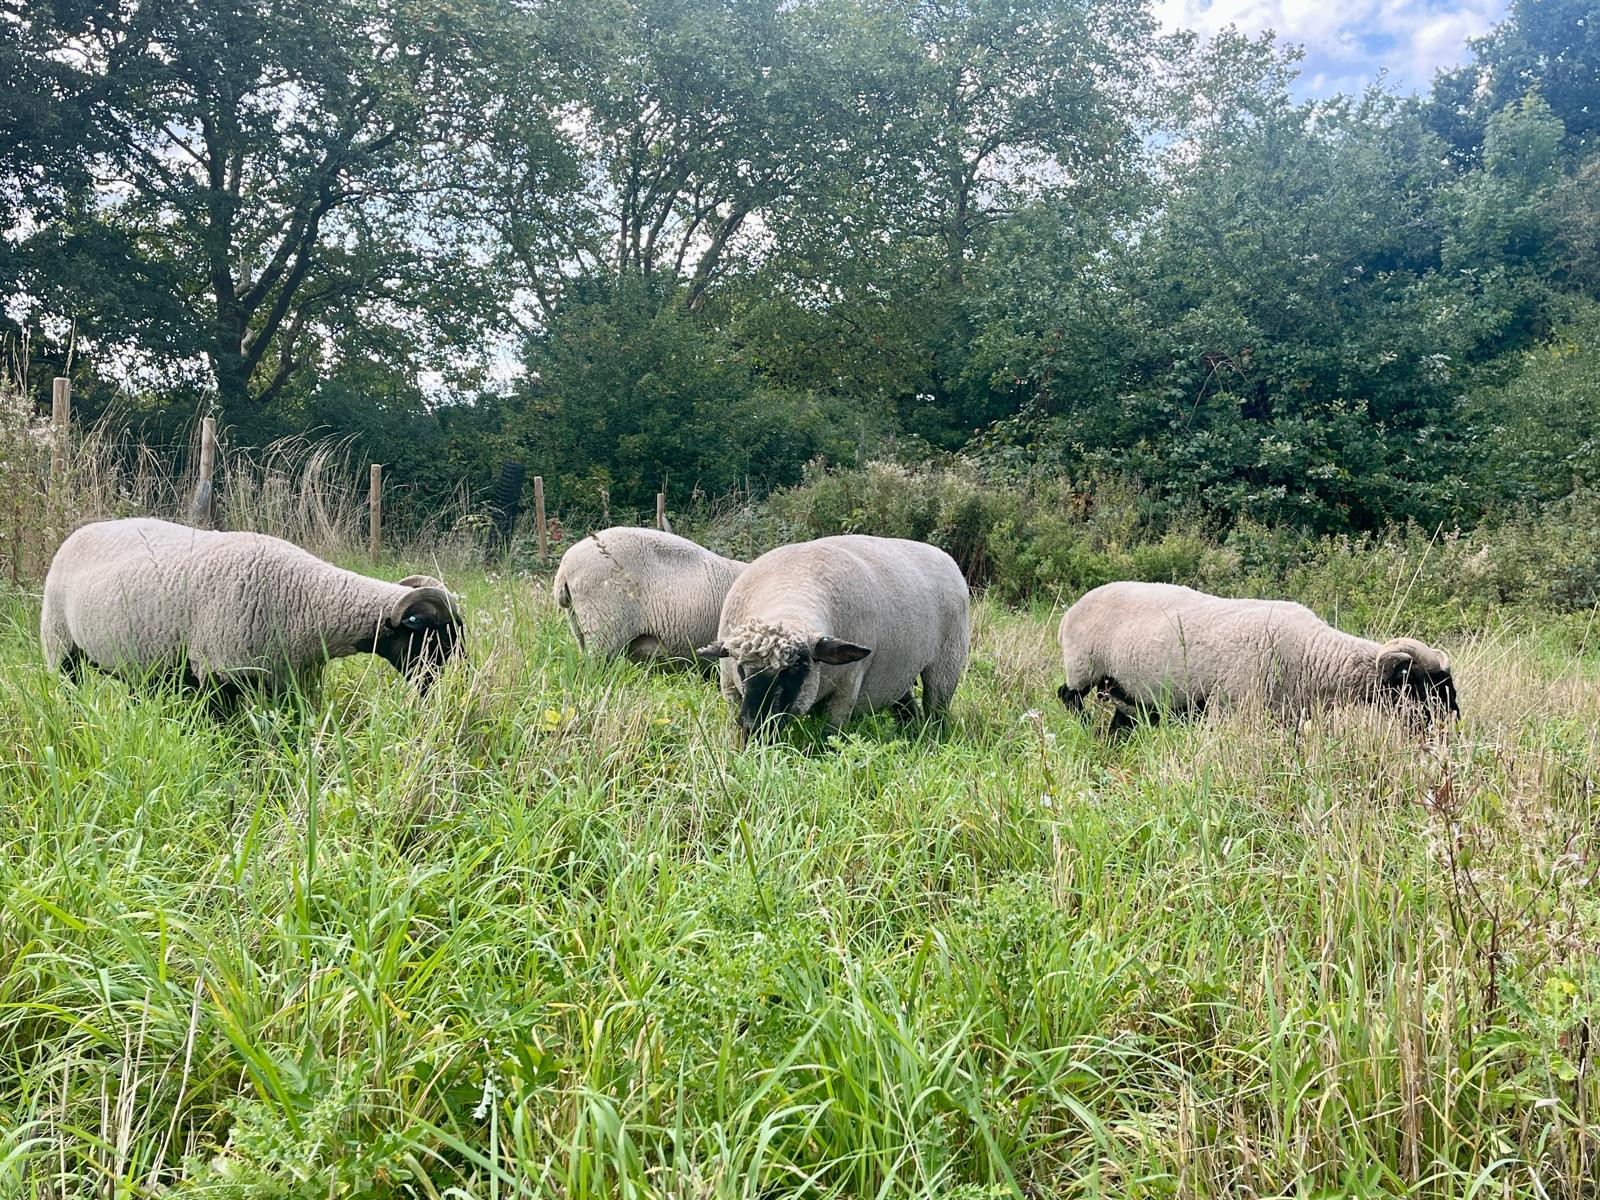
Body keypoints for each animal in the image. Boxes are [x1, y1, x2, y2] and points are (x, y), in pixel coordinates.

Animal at [41, 517, 464, 704]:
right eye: (433, 638)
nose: (435, 692)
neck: (308, 598)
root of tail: (74, 535)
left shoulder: (286, 680)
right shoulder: (219, 672)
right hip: (60, 648)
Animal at [697, 534, 970, 738]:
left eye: (798, 666)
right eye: (741, 668)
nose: (755, 724)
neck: (789, 601)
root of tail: (944, 556)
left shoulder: (847, 687)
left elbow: (830, 736)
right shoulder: (731, 689)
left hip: (946, 663)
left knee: (937, 708)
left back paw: (933, 739)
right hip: (899, 673)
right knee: (907, 706)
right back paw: (911, 734)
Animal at [1056, 581, 1459, 732]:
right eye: (1424, 687)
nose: (1451, 725)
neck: (1312, 654)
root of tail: (1069, 612)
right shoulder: (1229, 708)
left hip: (1123, 687)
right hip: (1084, 667)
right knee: (1067, 695)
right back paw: (1084, 727)